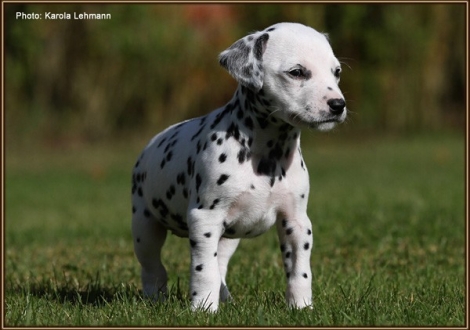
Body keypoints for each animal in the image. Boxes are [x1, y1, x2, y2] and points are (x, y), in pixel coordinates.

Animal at [130, 21, 346, 312]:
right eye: (297, 72)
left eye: (336, 72)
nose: (338, 105)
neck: (269, 154)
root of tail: (151, 144)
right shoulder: (204, 218)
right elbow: (203, 270)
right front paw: (203, 309)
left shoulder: (297, 222)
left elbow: (299, 270)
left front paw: (301, 306)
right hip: (145, 227)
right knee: (153, 267)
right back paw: (155, 297)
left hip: (228, 237)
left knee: (219, 263)